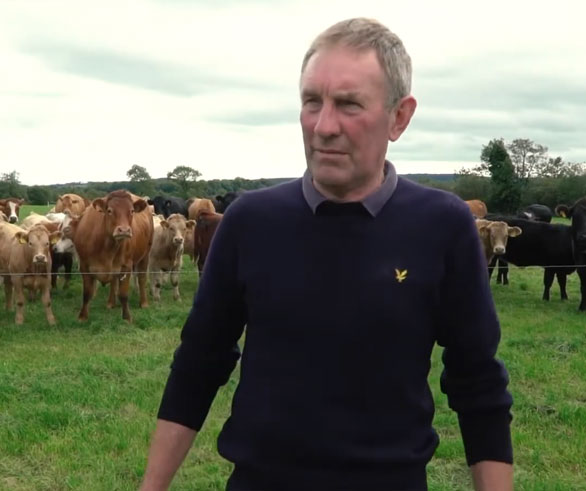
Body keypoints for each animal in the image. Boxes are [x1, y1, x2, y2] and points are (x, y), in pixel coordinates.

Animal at [71, 189, 154, 322]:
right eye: (109, 210)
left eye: (131, 211)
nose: (124, 230)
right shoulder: (84, 266)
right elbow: (87, 293)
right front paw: (82, 316)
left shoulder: (126, 266)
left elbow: (123, 294)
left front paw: (127, 317)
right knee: (114, 282)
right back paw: (111, 303)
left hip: (145, 254)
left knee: (141, 279)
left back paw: (144, 303)